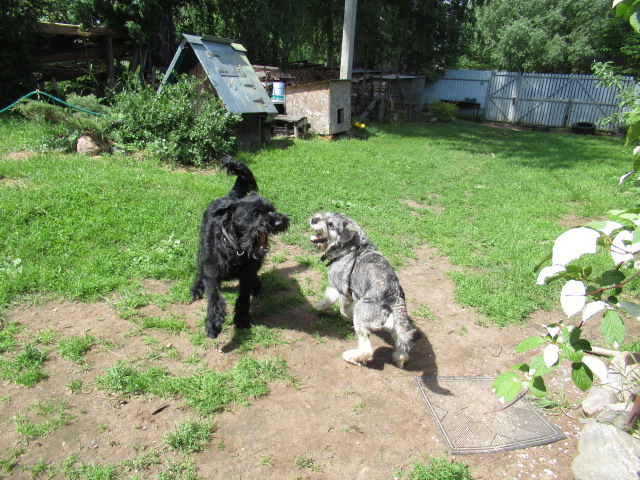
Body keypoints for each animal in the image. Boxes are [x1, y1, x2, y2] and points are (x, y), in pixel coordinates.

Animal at [190, 157, 290, 338]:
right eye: (256, 214)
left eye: (271, 210)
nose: (279, 222)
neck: (235, 249)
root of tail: (230, 197)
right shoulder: (212, 272)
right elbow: (214, 297)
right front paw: (213, 323)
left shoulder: (246, 274)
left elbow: (243, 298)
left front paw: (242, 319)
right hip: (201, 252)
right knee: (200, 272)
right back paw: (196, 288)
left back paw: (256, 286)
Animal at [309, 212, 420, 368]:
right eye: (326, 214)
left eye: (330, 224)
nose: (313, 219)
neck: (352, 248)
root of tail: (393, 296)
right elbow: (332, 295)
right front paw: (322, 305)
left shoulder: (343, 289)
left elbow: (341, 306)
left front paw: (324, 307)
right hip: (395, 323)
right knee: (401, 340)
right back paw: (400, 358)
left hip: (361, 314)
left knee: (367, 349)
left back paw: (351, 357)